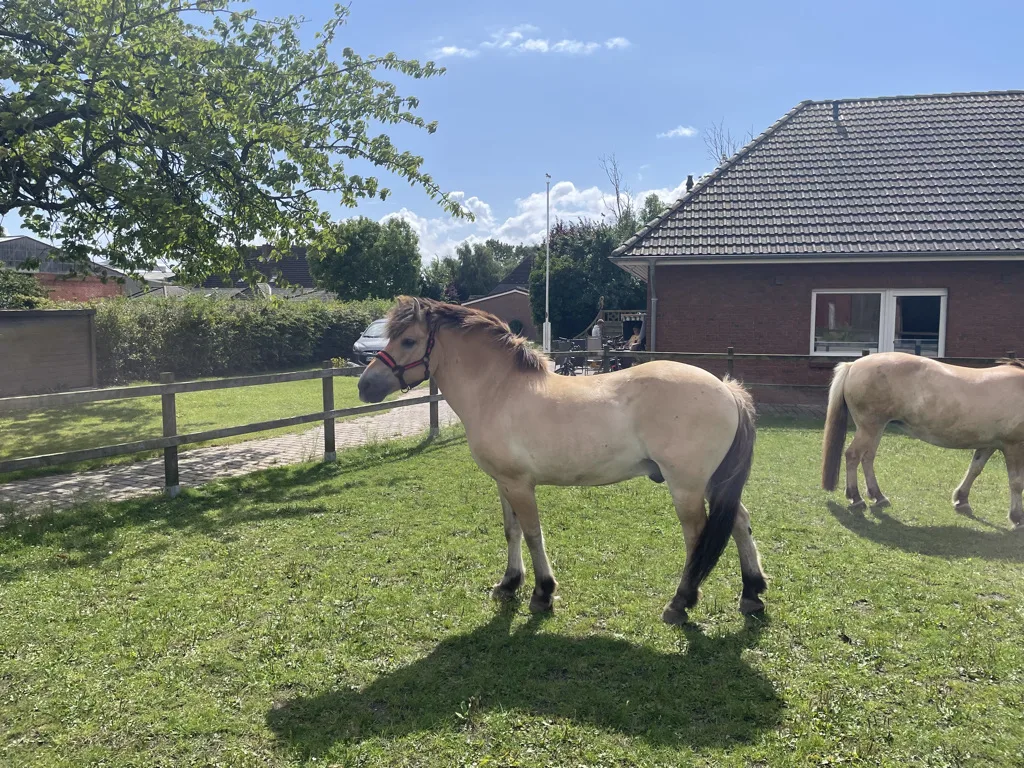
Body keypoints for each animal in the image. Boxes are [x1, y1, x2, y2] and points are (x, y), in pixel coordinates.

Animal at [357, 297, 767, 625]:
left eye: (408, 340)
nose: (364, 385)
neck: (498, 391)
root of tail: (726, 389)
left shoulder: (520, 484)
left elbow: (533, 534)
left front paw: (542, 592)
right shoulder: (504, 482)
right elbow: (512, 531)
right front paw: (509, 583)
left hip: (686, 486)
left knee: (697, 537)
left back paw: (681, 603)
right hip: (713, 482)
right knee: (739, 522)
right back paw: (752, 594)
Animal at [821, 352, 1024, 528]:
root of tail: (853, 365)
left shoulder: (989, 444)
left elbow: (974, 469)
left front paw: (962, 500)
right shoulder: (1013, 446)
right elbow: (1016, 482)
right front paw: (1017, 518)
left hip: (875, 429)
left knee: (867, 457)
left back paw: (878, 496)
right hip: (869, 428)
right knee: (853, 456)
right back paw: (856, 498)